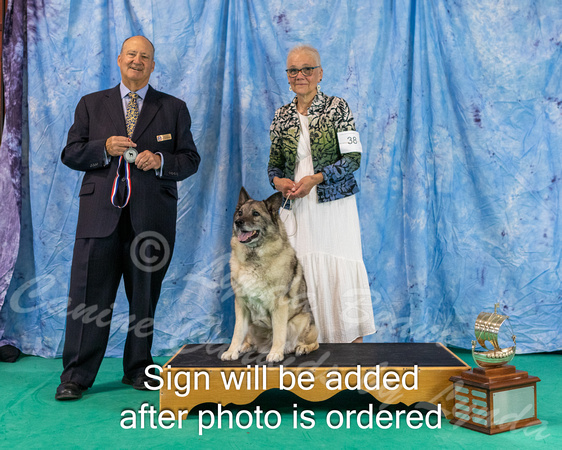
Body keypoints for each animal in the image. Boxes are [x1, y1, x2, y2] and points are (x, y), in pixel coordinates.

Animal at [219, 186, 318, 362]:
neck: (254, 259)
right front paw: (232, 351)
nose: (238, 222)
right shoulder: (241, 304)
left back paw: (301, 348)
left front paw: (275, 353)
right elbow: (237, 333)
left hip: (300, 320)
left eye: (255, 213)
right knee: (248, 339)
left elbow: (279, 332)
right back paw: (245, 347)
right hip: (252, 325)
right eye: (239, 212)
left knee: (313, 343)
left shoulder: (279, 305)